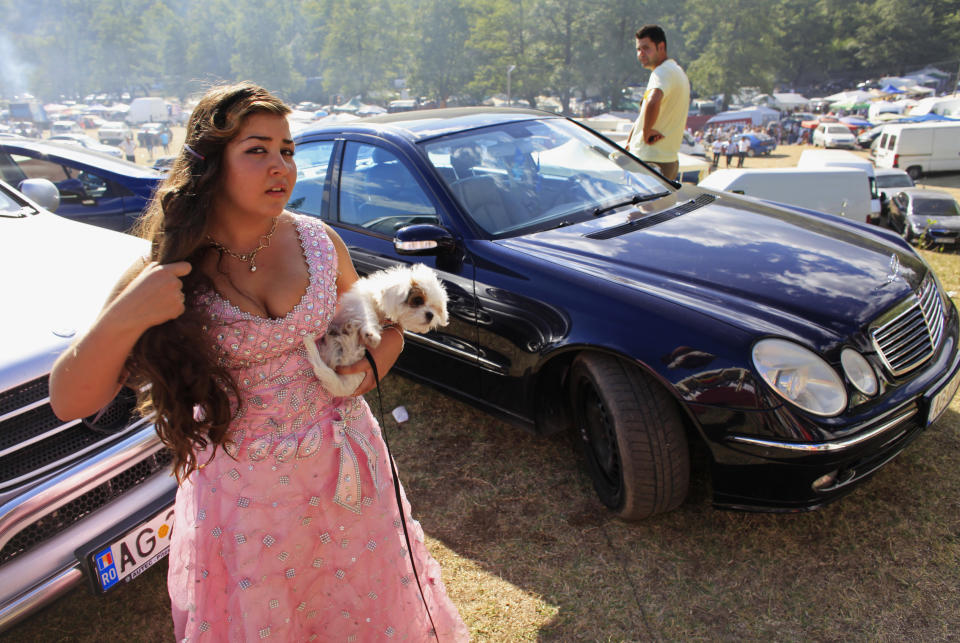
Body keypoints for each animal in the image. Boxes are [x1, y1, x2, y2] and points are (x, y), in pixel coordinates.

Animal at [302, 262, 448, 398]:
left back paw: (348, 335)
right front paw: (371, 332)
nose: (430, 315)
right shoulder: (361, 301)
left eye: (435, 307)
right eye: (418, 300)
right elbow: (367, 313)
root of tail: (344, 387)